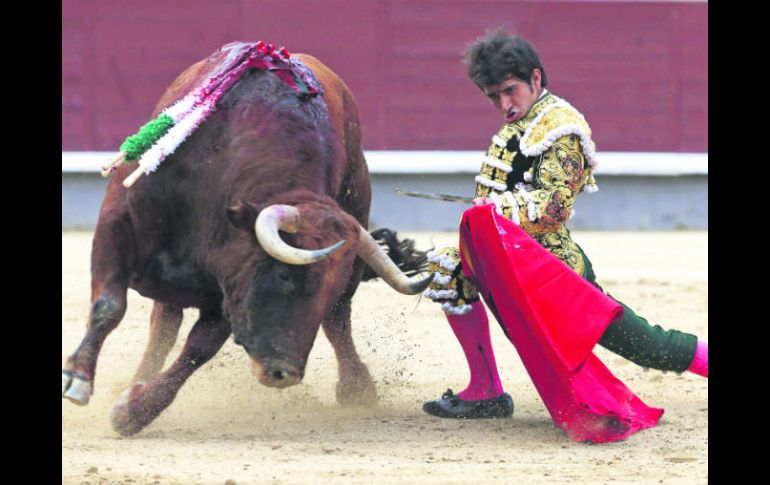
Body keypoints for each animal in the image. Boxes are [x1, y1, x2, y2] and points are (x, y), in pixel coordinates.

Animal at [60, 41, 432, 434]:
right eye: (283, 274)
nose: (284, 373)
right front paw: (78, 379)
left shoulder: (229, 284)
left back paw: (356, 388)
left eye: (328, 287)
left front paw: (134, 411)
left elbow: (198, 350)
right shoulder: (116, 225)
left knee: (337, 321)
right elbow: (109, 305)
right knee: (162, 324)